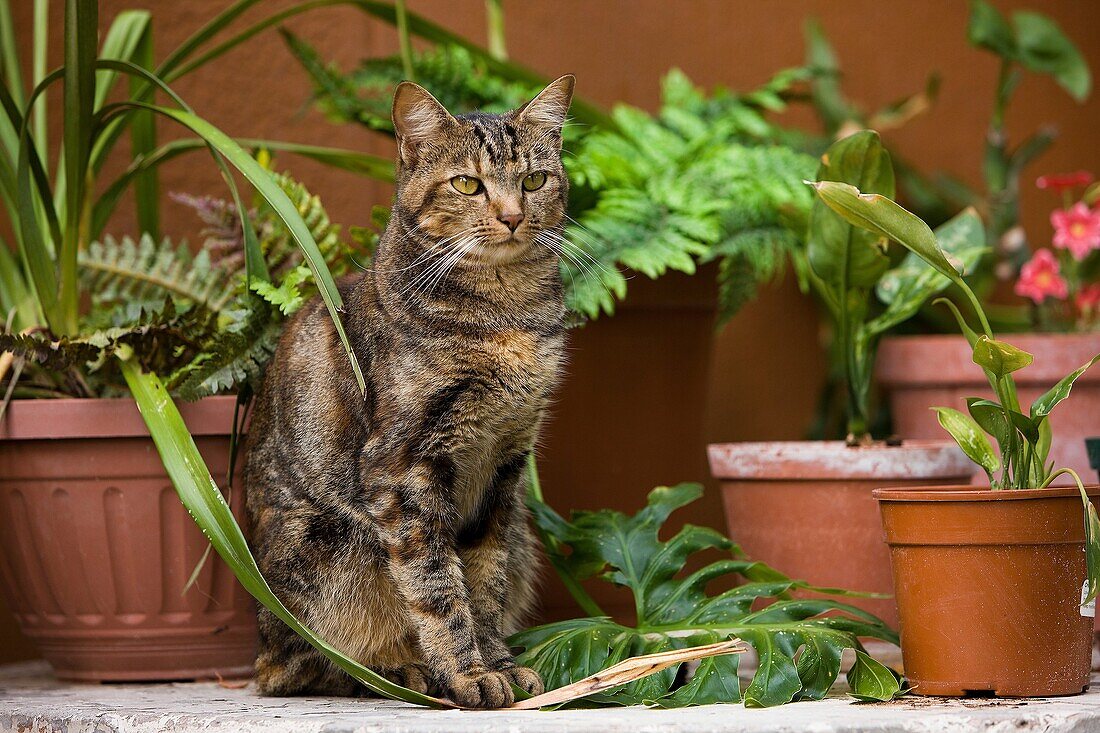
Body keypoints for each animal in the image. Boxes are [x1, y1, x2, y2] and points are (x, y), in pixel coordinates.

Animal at [245, 75, 576, 708]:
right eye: (467, 184)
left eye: (533, 181)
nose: (513, 217)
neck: (507, 315)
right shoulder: (405, 468)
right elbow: (438, 588)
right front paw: (468, 675)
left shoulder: (504, 469)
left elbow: (485, 582)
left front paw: (499, 663)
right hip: (332, 549)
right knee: (304, 667)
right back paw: (407, 673)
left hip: (523, 531)